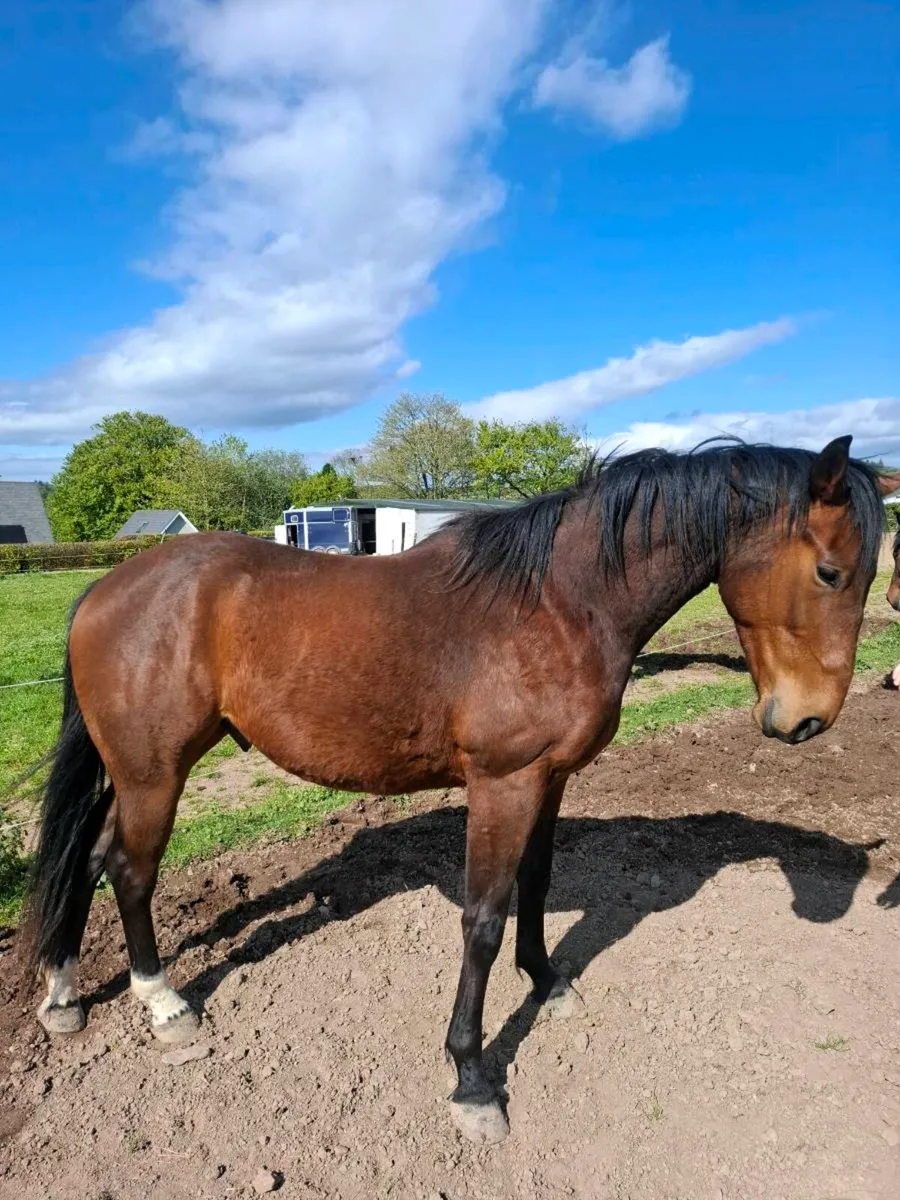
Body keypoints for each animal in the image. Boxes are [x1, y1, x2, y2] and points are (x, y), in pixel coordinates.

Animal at [23, 436, 892, 1145]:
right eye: (829, 571)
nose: (807, 721)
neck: (559, 602)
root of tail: (104, 590)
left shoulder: (550, 778)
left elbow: (536, 886)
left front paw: (548, 983)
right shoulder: (502, 784)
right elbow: (483, 919)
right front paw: (473, 1081)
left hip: (134, 773)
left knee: (89, 861)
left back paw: (63, 992)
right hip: (154, 773)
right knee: (129, 870)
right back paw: (164, 1003)